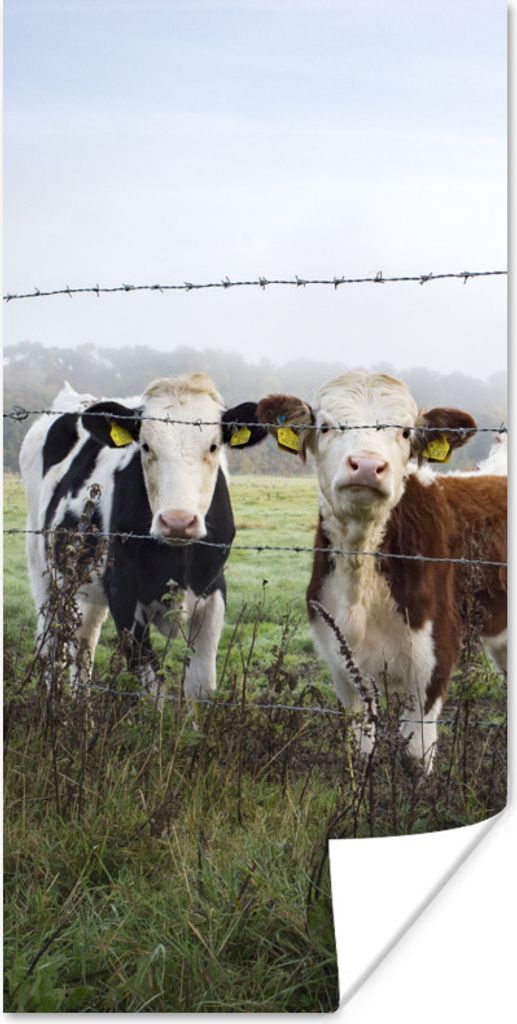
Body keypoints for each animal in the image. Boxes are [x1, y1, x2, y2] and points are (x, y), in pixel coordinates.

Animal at [20, 373, 267, 704]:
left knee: (85, 640)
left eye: (214, 446)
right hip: (43, 567)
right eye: (146, 446)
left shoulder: (214, 590)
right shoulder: (123, 592)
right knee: (51, 639)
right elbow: (153, 689)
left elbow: (200, 685)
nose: (177, 521)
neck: (176, 562)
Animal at [257, 373, 507, 772]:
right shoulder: (341, 660)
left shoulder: (435, 655)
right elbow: (362, 749)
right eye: (326, 426)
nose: (366, 465)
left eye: (405, 432)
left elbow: (417, 756)